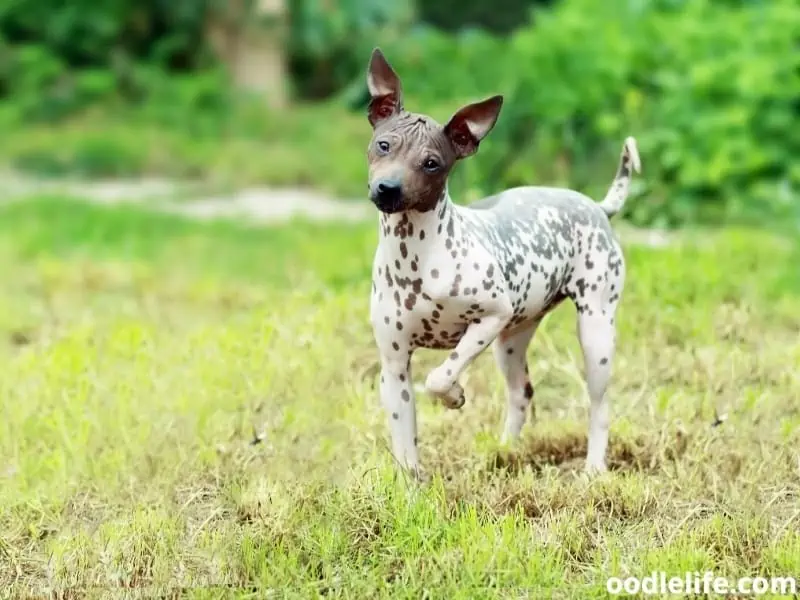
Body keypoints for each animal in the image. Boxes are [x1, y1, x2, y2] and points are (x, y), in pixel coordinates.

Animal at [366, 45, 640, 478]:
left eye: (432, 163)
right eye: (383, 145)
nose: (388, 189)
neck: (416, 258)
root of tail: (597, 205)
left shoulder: (491, 317)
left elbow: (440, 376)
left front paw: (455, 395)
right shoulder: (393, 369)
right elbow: (405, 446)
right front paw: (411, 489)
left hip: (595, 332)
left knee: (599, 405)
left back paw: (593, 469)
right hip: (511, 341)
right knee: (521, 393)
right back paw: (503, 451)